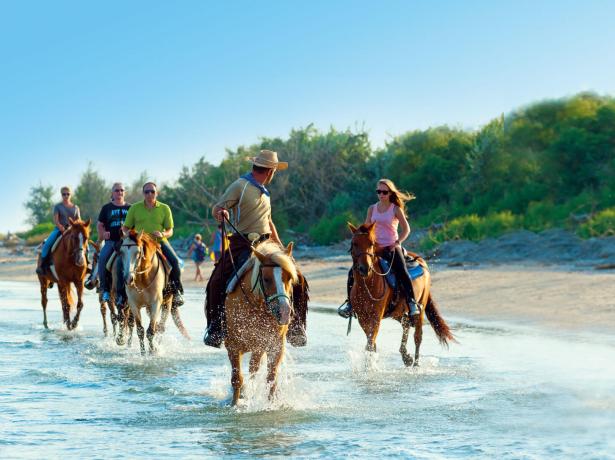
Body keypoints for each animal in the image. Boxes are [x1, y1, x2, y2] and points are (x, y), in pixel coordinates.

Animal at [225, 241, 300, 406]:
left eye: (289, 278)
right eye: (266, 279)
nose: (284, 312)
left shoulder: (275, 345)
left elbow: (271, 379)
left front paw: (271, 405)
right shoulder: (232, 346)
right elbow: (237, 379)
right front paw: (234, 405)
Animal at [348, 223, 454, 366]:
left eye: (371, 243)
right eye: (354, 243)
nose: (365, 268)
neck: (367, 285)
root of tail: (421, 261)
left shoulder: (376, 316)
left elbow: (370, 342)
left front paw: (370, 367)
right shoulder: (362, 317)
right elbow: (371, 343)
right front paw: (369, 365)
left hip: (420, 308)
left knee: (418, 336)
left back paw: (415, 365)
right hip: (398, 311)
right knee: (406, 325)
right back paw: (406, 357)